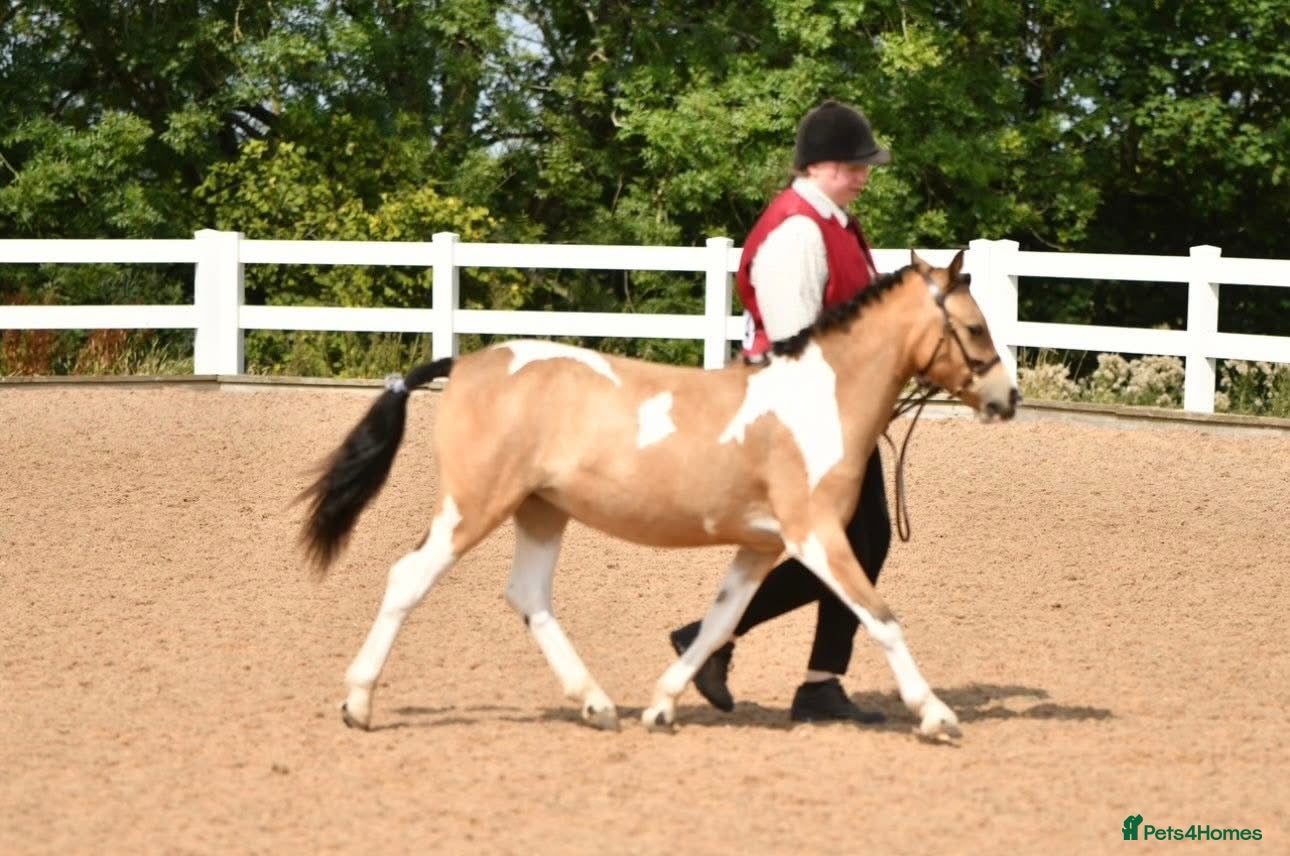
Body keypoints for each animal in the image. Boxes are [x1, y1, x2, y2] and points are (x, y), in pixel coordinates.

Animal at [300, 249, 1020, 742]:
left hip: (541, 511)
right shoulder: (816, 536)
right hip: (474, 507)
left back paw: (597, 704)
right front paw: (937, 715)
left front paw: (664, 704)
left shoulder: (761, 547)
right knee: (408, 577)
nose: (1007, 398)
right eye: (974, 328)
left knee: (528, 597)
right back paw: (358, 703)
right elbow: (881, 617)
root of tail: (469, 364)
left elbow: (720, 622)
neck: (817, 401)